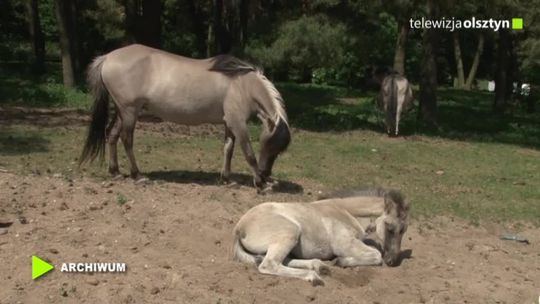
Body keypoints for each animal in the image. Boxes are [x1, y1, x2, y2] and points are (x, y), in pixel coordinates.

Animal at [79, 44, 292, 189]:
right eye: (268, 144)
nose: (266, 174)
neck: (242, 84)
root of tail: (107, 57)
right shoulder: (237, 123)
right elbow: (249, 153)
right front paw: (261, 183)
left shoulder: (229, 123)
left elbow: (228, 150)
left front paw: (227, 179)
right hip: (130, 111)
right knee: (126, 139)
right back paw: (137, 175)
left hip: (122, 111)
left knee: (112, 135)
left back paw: (115, 172)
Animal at [232, 189, 410, 286]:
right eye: (390, 227)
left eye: (404, 230)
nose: (392, 261)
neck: (345, 211)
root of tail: (239, 227)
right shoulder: (344, 244)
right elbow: (376, 255)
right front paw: (341, 261)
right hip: (290, 232)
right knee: (269, 264)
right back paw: (314, 276)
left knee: (282, 260)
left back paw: (320, 266)